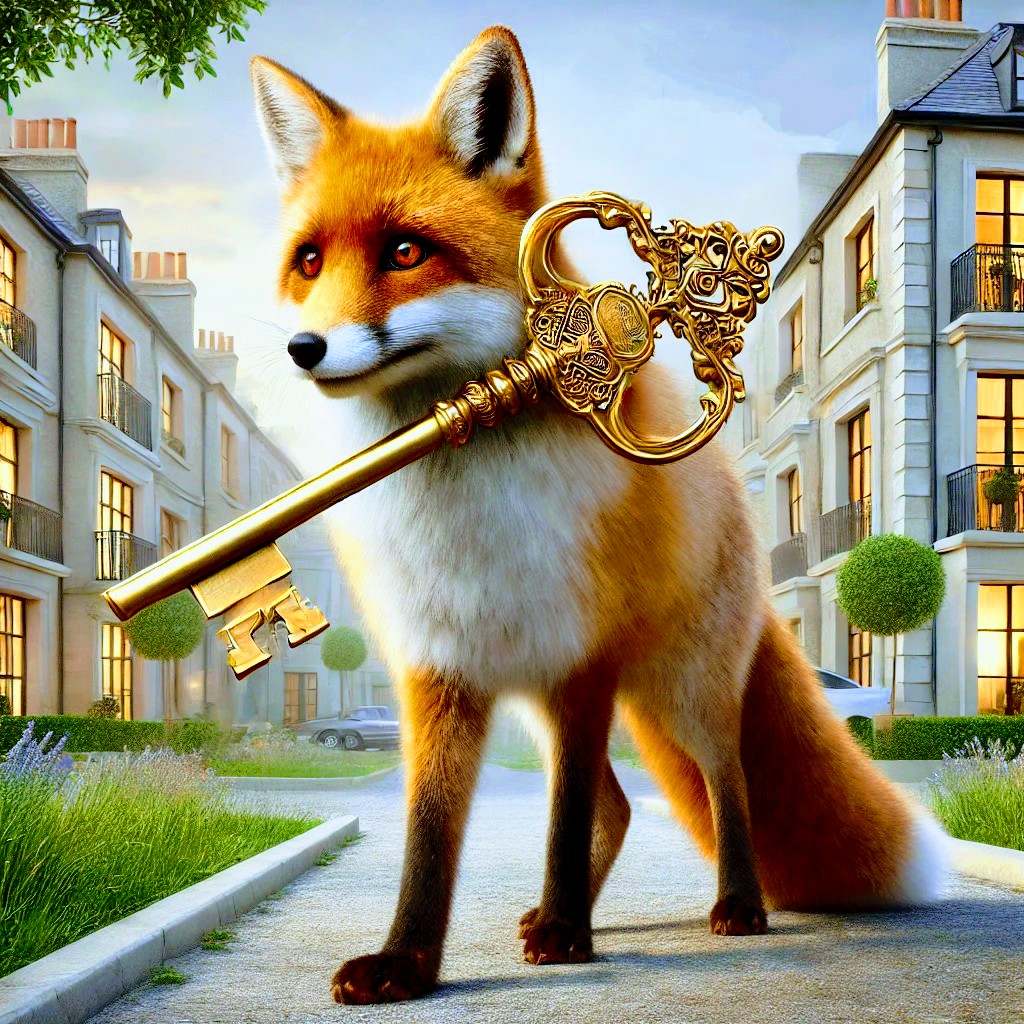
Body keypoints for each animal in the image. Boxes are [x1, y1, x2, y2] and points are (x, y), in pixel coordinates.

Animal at [249, 26, 950, 1006]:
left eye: (405, 253)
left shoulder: (581, 659)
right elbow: (431, 835)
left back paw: (733, 905)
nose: (302, 348)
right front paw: (410, 963)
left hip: (682, 692)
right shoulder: (440, 670)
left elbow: (564, 816)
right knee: (620, 804)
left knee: (725, 778)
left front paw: (566, 937)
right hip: (556, 709)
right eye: (309, 261)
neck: (469, 513)